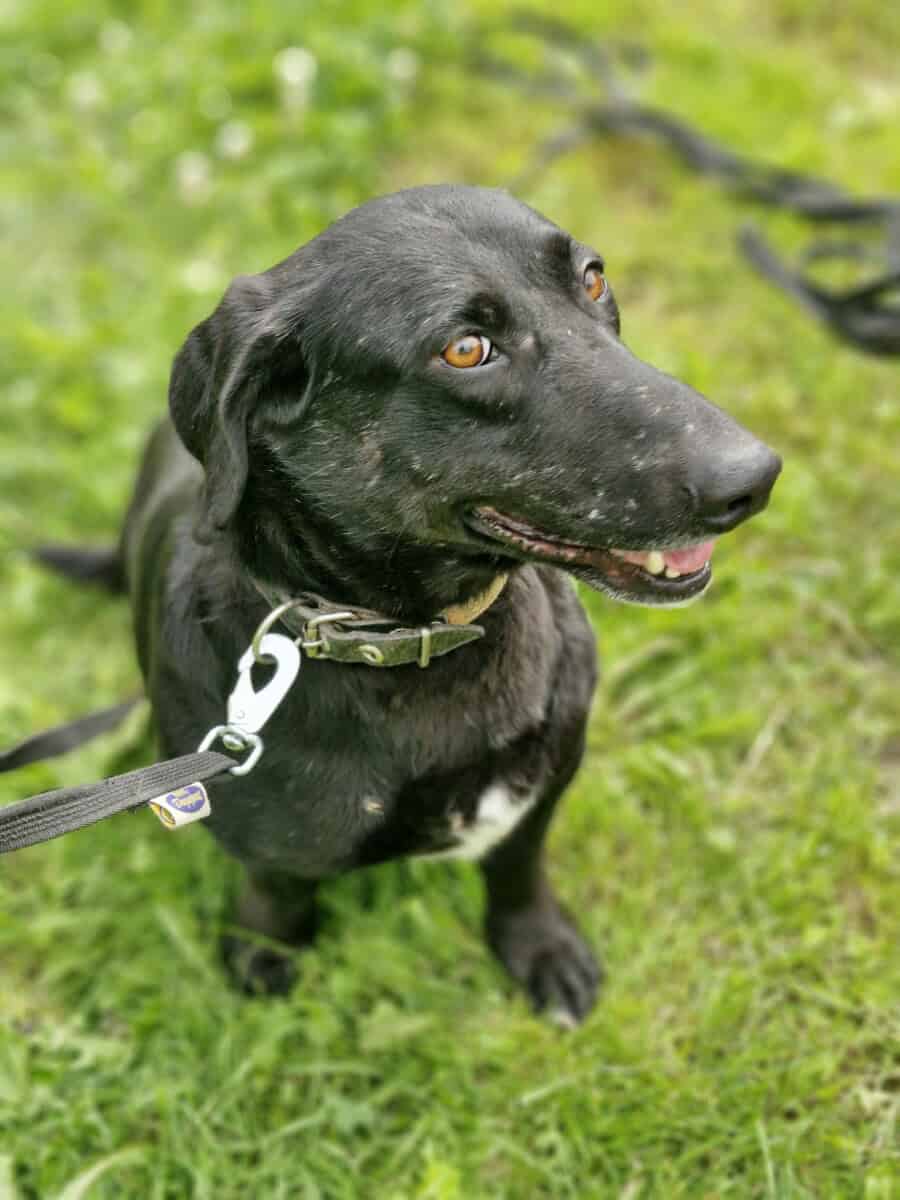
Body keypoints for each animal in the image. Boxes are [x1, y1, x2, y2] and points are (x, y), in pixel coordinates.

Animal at [46, 185, 781, 1025]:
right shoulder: (270, 844)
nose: (755, 477)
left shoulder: (539, 794)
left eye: (593, 278)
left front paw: (540, 947)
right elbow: (278, 893)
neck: (419, 645)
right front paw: (263, 954)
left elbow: (518, 869)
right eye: (466, 350)